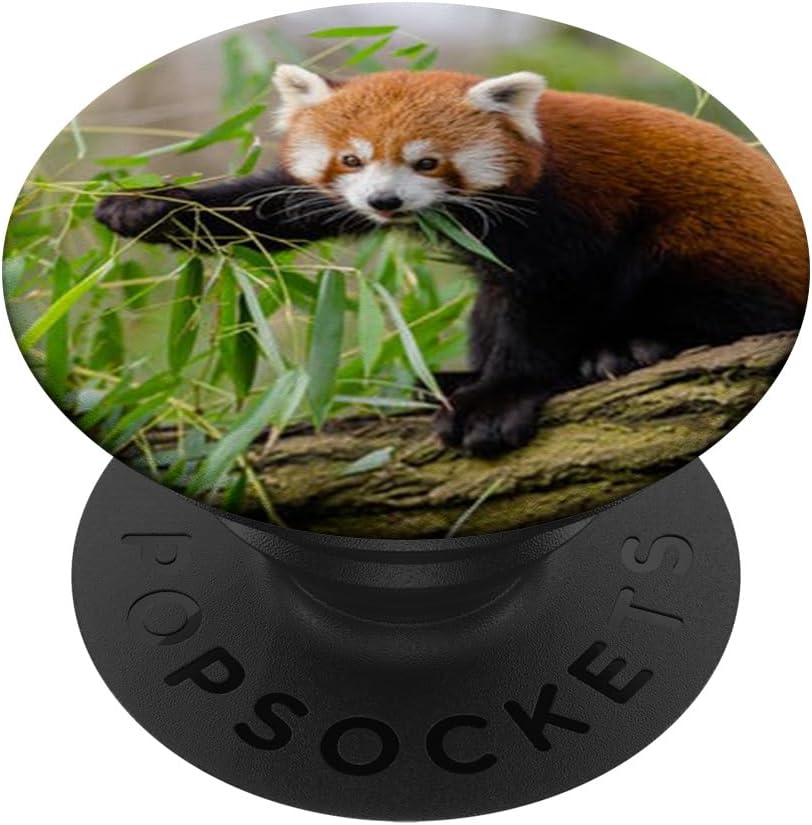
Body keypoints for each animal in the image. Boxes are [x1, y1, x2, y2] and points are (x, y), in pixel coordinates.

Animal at [95, 64, 808, 456]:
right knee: (486, 305)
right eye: (351, 159)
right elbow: (276, 207)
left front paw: (498, 398)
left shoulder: (565, 214)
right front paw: (147, 207)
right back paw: (446, 377)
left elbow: (546, 304)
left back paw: (631, 349)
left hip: (714, 243)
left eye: (427, 162)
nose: (385, 201)